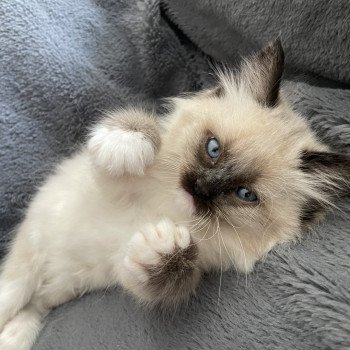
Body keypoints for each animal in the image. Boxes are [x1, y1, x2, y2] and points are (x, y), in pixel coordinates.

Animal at [0, 39, 350, 348]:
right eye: (213, 149)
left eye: (245, 194)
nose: (200, 189)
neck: (166, 207)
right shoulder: (106, 184)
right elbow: (142, 129)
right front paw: (127, 145)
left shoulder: (139, 268)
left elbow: (170, 271)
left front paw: (163, 246)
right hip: (29, 256)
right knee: (13, 293)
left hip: (56, 287)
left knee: (32, 307)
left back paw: (13, 337)